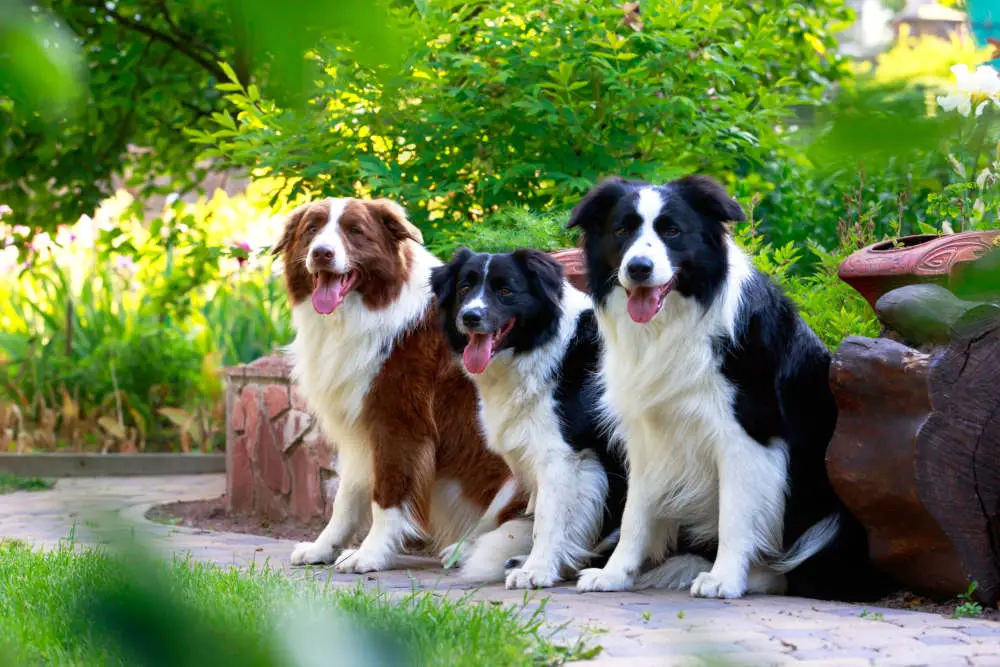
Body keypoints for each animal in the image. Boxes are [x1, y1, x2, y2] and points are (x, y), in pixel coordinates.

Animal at [270, 197, 528, 576]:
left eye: (355, 231)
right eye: (312, 229)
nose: (321, 253)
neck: (362, 312)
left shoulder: (399, 424)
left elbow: (388, 496)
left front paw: (371, 554)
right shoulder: (359, 431)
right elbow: (346, 499)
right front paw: (324, 548)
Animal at [430, 248, 624, 588]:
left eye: (506, 291)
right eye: (464, 288)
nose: (470, 317)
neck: (541, 347)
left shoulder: (563, 455)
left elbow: (547, 518)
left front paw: (538, 570)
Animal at [568, 174, 888, 600]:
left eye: (672, 231)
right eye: (622, 230)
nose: (638, 268)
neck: (675, 324)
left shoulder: (746, 435)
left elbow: (735, 514)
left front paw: (725, 579)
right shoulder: (649, 436)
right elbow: (636, 512)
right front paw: (615, 574)